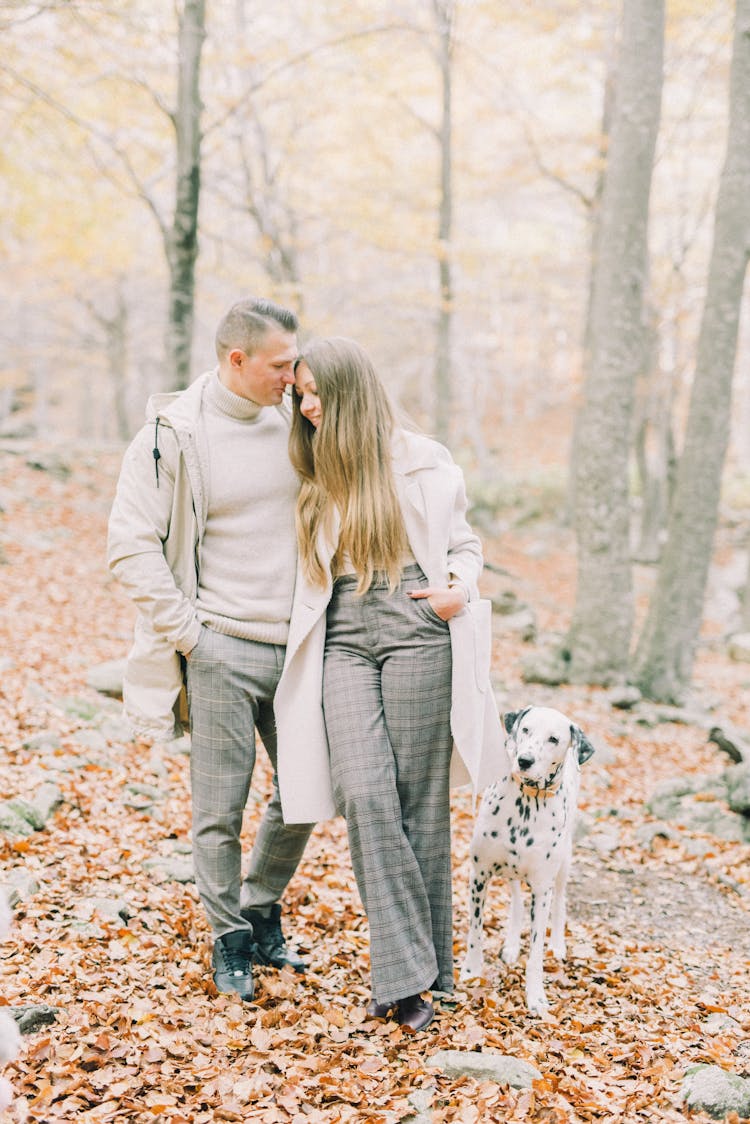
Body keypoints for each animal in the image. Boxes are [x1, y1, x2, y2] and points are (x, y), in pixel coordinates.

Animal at [461, 710, 593, 1020]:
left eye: (554, 738)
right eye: (526, 729)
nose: (524, 760)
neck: (526, 805)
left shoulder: (542, 890)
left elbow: (535, 953)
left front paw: (536, 997)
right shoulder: (479, 875)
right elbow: (475, 931)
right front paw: (472, 971)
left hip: (564, 862)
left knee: (560, 901)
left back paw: (557, 945)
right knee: (517, 902)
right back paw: (511, 945)